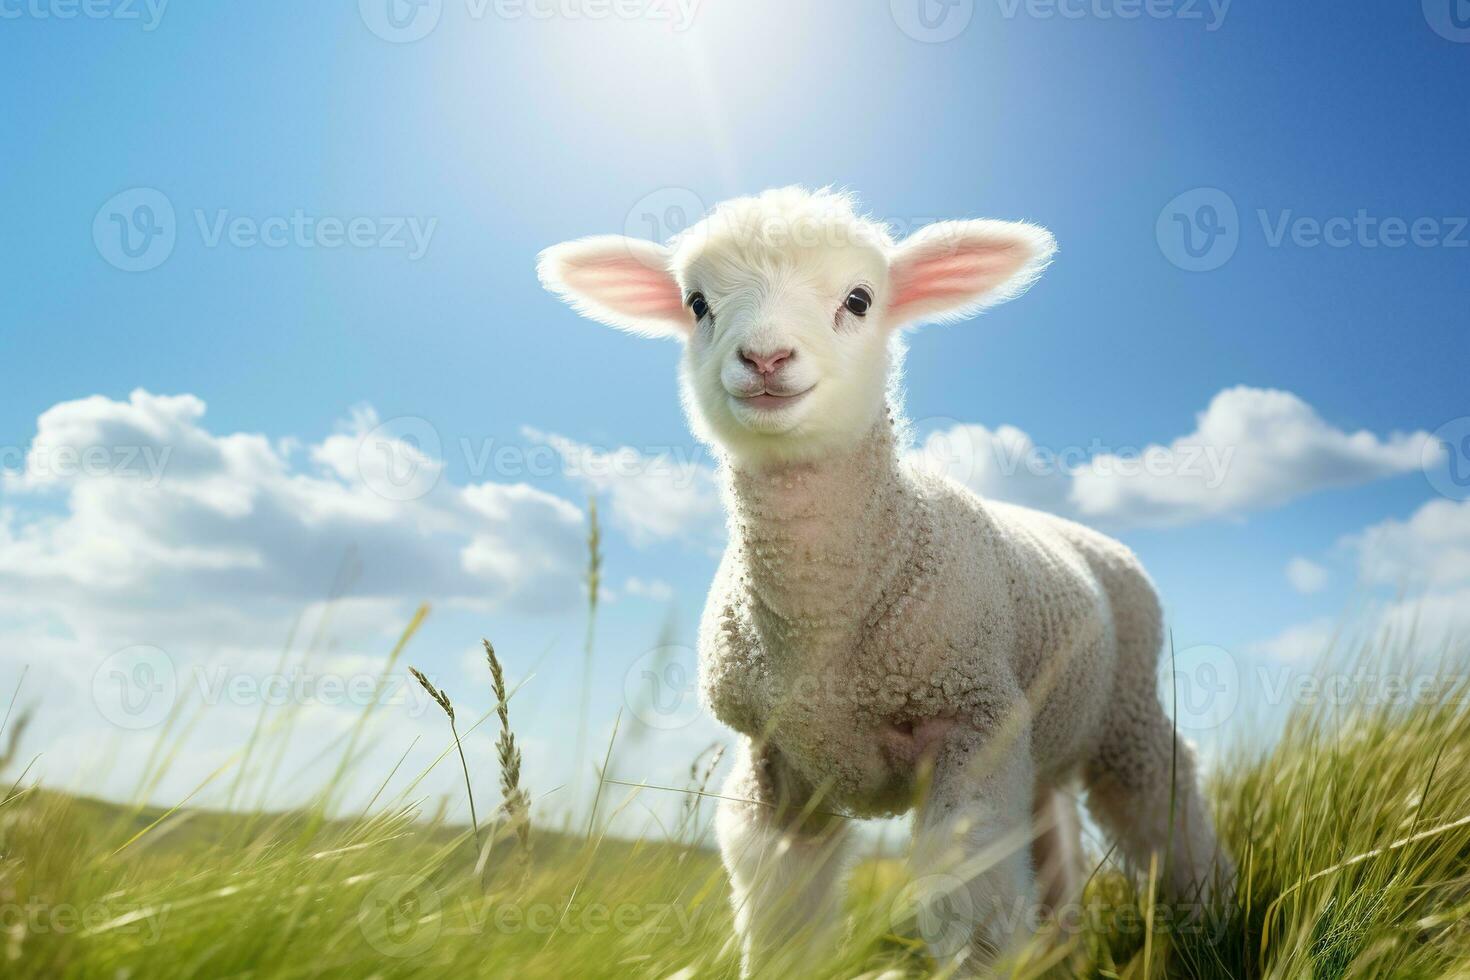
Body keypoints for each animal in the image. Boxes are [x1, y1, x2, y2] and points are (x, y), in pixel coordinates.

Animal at [538, 185, 1228, 975]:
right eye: (697, 303)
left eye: (859, 299)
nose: (765, 356)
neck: (822, 633)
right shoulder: (777, 761)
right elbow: (781, 909)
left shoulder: (970, 720)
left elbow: (970, 899)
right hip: (1044, 741)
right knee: (1054, 841)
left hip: (1127, 714)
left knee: (1167, 808)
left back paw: (1210, 919)